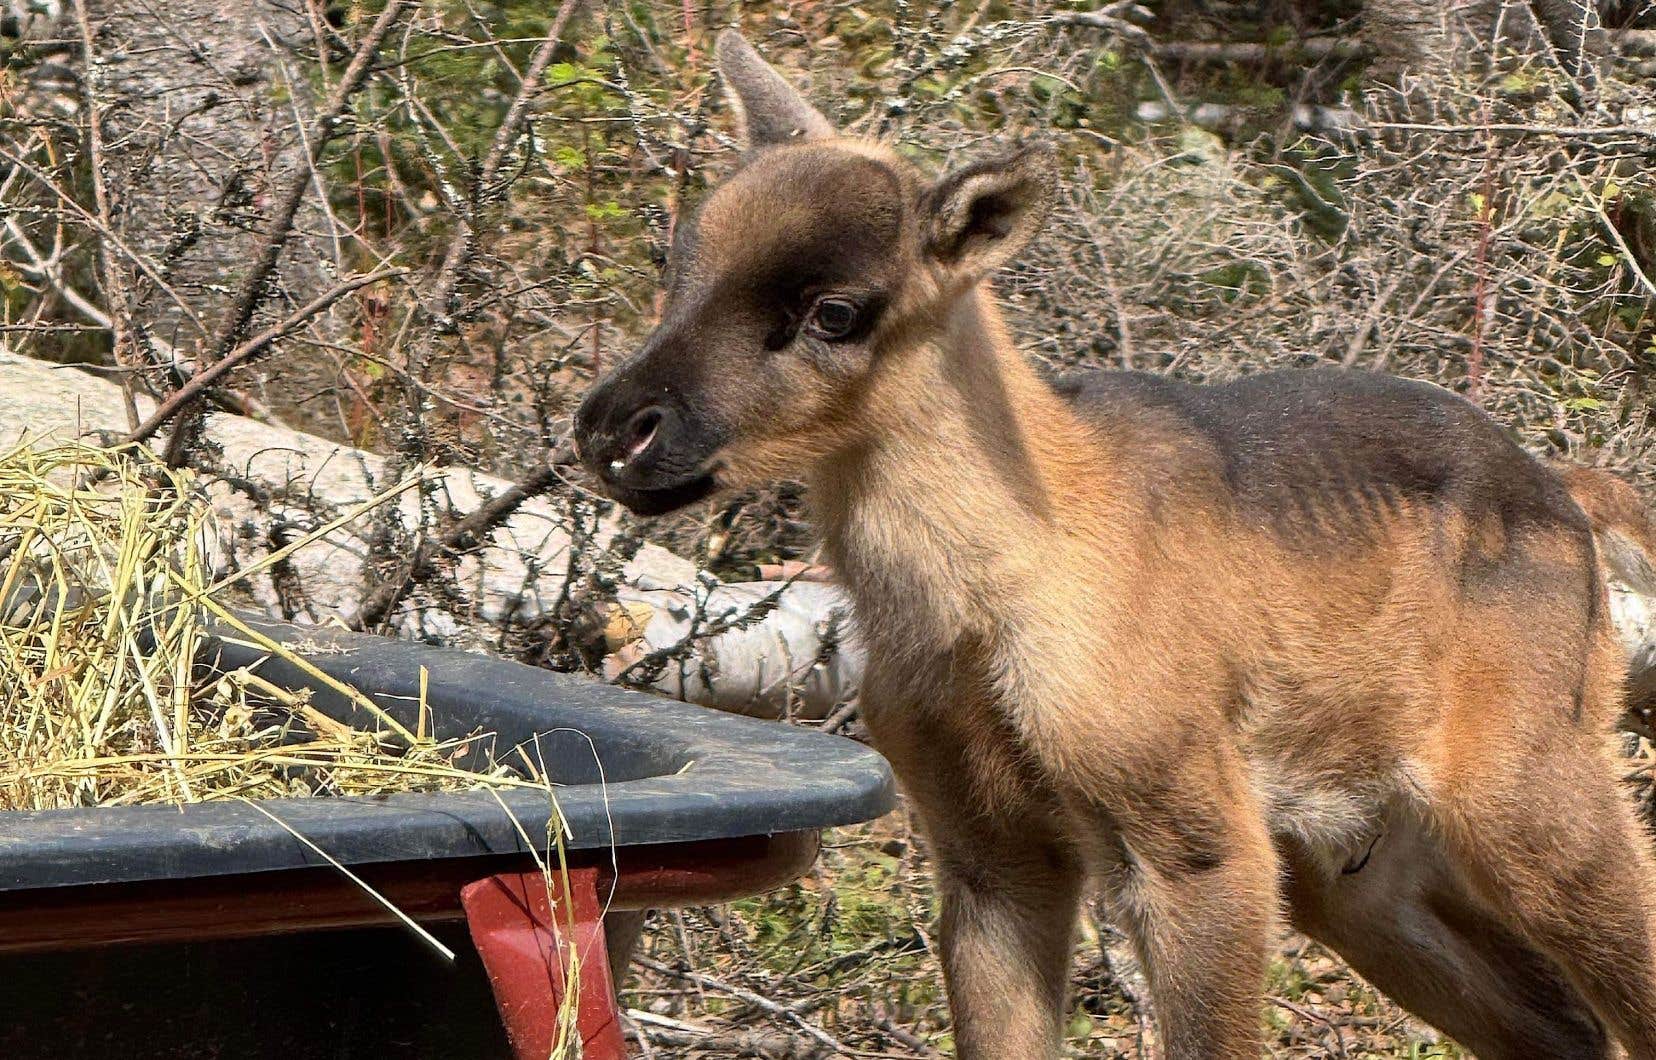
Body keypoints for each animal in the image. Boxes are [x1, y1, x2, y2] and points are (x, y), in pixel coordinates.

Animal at [579, 31, 1656, 1060]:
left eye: (836, 311)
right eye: (677, 260)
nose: (612, 428)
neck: (988, 596)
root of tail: (1570, 497)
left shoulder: (1197, 838)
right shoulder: (988, 848)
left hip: (1528, 790)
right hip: (1359, 866)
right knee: (1563, 1027)